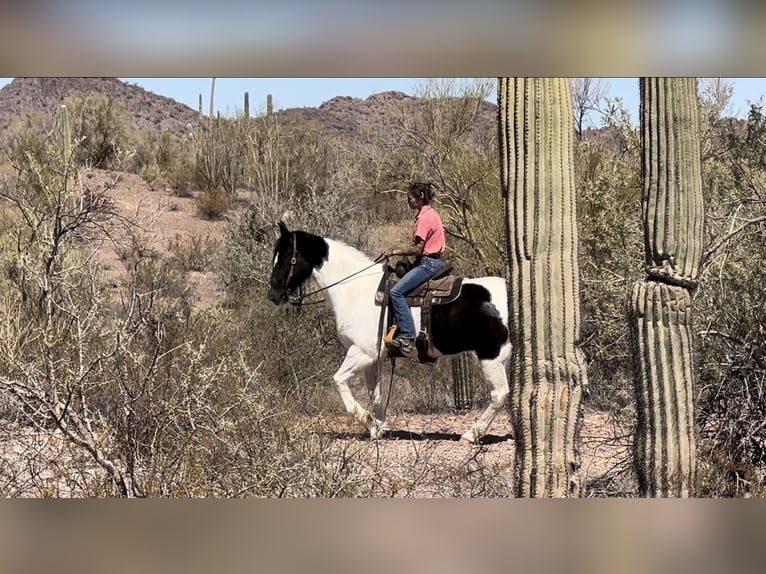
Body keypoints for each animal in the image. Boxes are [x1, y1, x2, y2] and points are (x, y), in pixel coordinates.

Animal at [268, 222, 512, 446]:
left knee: (499, 394)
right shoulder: (373, 358)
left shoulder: (361, 352)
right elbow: (375, 394)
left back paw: (471, 434)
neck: (356, 290)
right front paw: (379, 427)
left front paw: (368, 421)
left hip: (491, 356)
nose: (273, 295)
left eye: (287, 256)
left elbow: (339, 381)